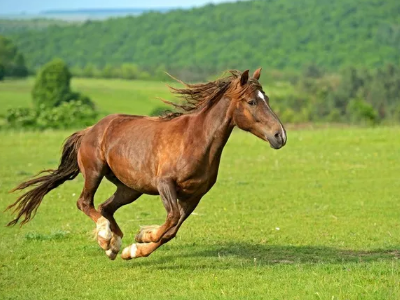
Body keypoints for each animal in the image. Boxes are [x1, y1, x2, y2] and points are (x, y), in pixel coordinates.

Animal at [7, 68, 288, 260]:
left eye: (266, 98)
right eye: (252, 101)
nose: (280, 136)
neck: (196, 140)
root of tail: (90, 130)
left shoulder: (195, 195)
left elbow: (172, 230)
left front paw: (135, 246)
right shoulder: (165, 184)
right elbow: (171, 220)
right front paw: (143, 237)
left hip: (130, 188)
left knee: (106, 207)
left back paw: (114, 246)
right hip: (95, 172)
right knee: (85, 203)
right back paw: (105, 237)